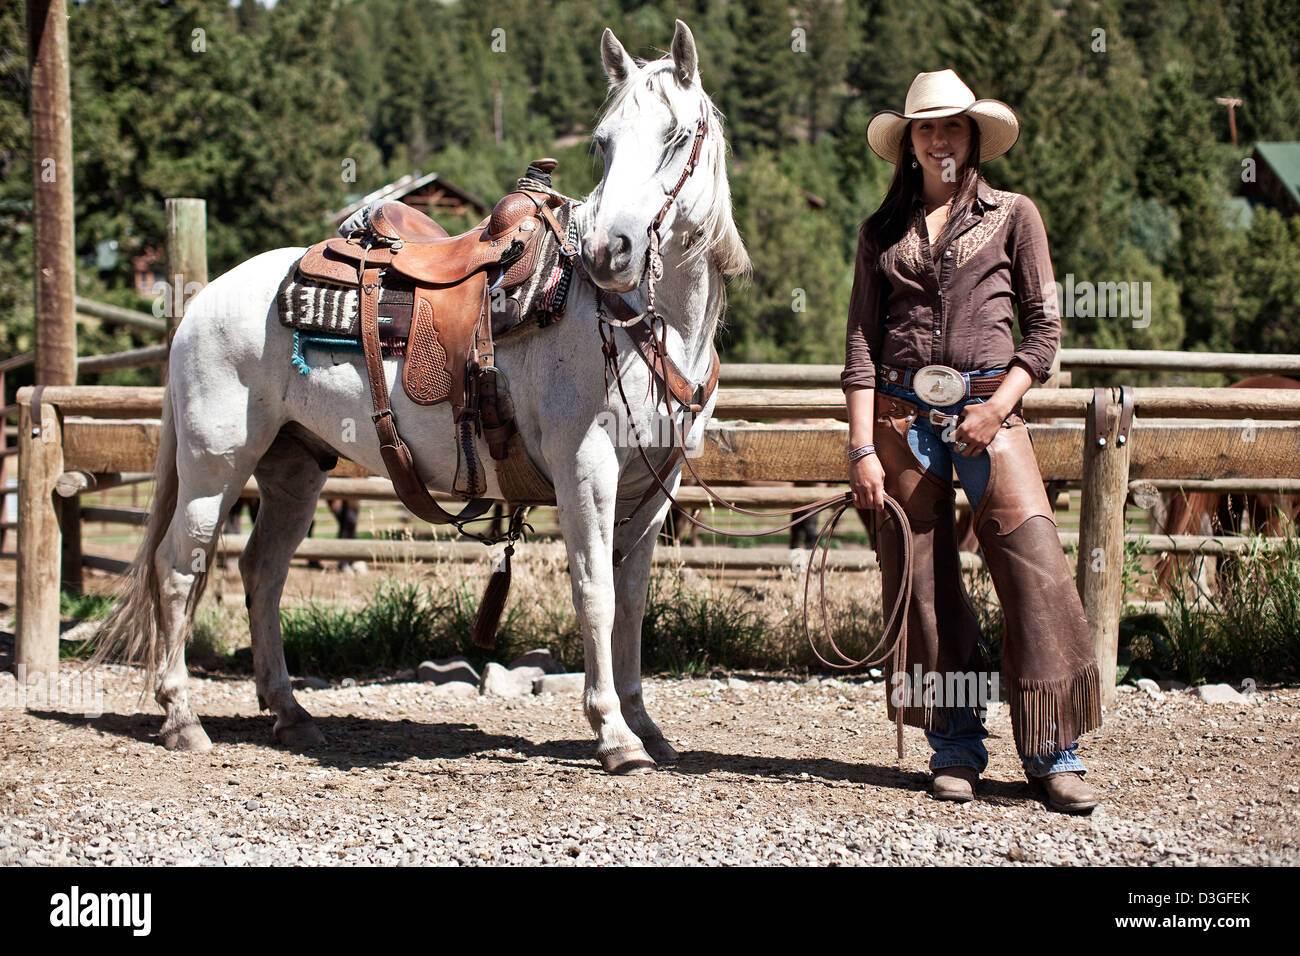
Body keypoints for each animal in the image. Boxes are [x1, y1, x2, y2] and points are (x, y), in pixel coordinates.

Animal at [96, 20, 754, 780]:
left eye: (677, 135)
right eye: (603, 141)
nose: (606, 251)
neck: (636, 322)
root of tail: (200, 302)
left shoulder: (653, 485)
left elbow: (632, 606)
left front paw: (647, 728)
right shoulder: (586, 470)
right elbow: (595, 595)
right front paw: (615, 736)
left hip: (293, 467)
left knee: (263, 570)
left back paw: (291, 713)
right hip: (215, 465)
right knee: (179, 568)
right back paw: (182, 719)